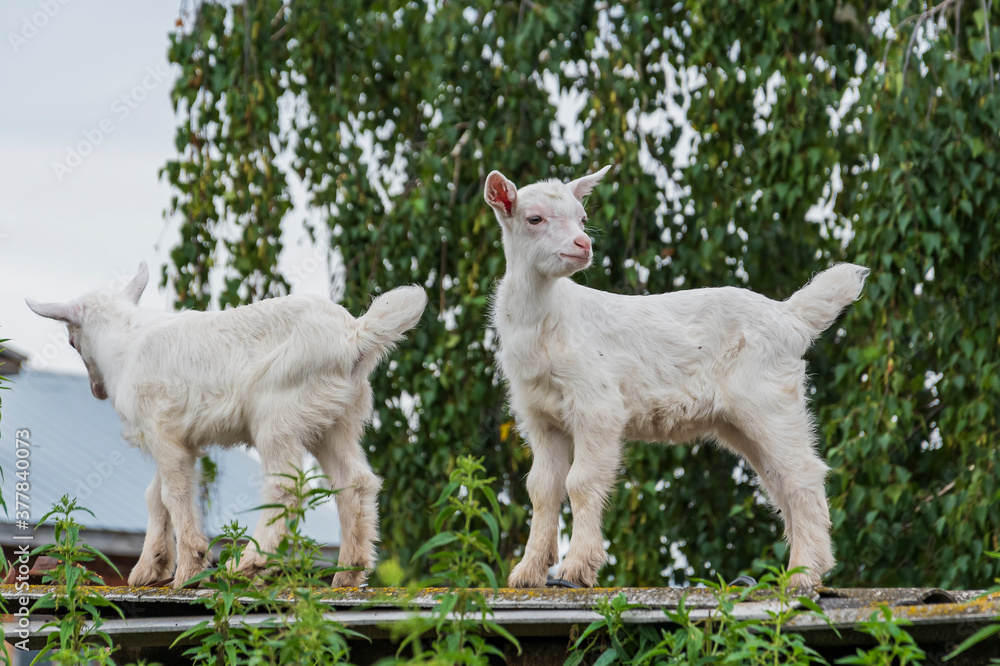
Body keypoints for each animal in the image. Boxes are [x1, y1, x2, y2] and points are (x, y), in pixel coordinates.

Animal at [27, 262, 427, 588]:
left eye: (71, 340)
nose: (96, 391)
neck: (127, 345)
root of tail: (354, 336)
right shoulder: (177, 440)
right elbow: (155, 494)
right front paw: (150, 568)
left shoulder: (163, 433)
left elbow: (173, 494)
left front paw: (189, 569)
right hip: (336, 420)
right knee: (355, 481)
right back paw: (350, 571)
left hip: (278, 414)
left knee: (286, 487)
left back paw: (248, 565)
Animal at [484, 166, 868, 589]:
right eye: (534, 218)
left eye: (582, 218)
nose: (583, 244)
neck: (549, 320)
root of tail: (791, 318)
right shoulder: (540, 417)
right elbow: (542, 489)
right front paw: (528, 572)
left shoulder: (597, 405)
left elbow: (580, 482)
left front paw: (577, 569)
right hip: (740, 419)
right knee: (779, 481)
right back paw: (801, 570)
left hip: (769, 396)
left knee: (803, 473)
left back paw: (804, 574)